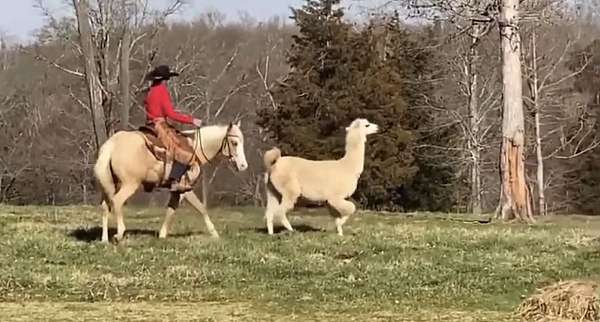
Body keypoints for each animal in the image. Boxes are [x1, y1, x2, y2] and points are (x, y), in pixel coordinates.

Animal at [92, 121, 247, 242]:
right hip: (129, 185)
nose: (243, 165)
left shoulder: (178, 191)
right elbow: (201, 208)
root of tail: (112, 145)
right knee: (116, 202)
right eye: (234, 143)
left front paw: (162, 235)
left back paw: (104, 239)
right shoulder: (185, 188)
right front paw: (214, 234)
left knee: (105, 206)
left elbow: (171, 210)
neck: (195, 149)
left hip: (110, 185)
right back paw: (119, 233)